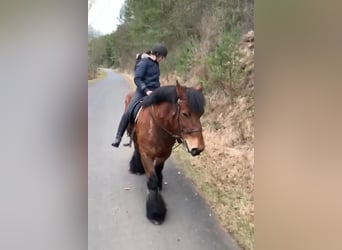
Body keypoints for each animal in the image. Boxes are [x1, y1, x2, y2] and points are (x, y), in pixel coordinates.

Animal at [123, 80, 204, 225]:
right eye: (185, 114)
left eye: (201, 114)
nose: (198, 148)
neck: (157, 126)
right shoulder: (147, 155)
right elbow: (153, 180)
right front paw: (156, 213)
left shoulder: (165, 153)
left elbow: (158, 170)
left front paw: (160, 185)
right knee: (137, 149)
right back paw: (136, 167)